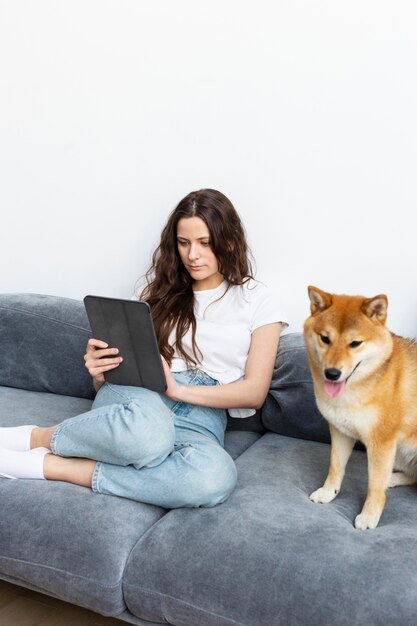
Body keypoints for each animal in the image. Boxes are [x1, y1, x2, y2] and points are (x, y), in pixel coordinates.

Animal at [302, 286, 416, 528]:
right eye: (325, 338)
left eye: (355, 343)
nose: (332, 373)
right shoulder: (341, 432)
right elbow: (335, 467)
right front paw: (328, 492)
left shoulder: (381, 443)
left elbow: (374, 486)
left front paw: (369, 516)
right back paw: (393, 478)